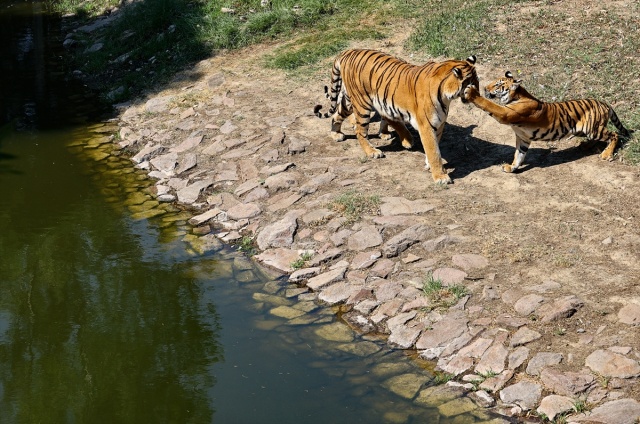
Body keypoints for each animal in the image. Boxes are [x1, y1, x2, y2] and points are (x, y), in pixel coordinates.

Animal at [312, 48, 478, 184]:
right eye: (472, 82)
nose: (478, 93)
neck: (445, 96)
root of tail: (347, 52)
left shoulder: (439, 124)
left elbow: (434, 147)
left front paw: (428, 165)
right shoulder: (426, 126)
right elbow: (434, 152)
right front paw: (441, 177)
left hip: (351, 101)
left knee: (336, 115)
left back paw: (336, 134)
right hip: (362, 104)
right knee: (360, 131)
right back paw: (372, 152)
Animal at [464, 70, 632, 173]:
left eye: (498, 84)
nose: (485, 88)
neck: (516, 96)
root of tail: (604, 103)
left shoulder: (505, 113)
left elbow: (488, 104)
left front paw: (471, 92)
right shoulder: (523, 138)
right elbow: (518, 155)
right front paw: (512, 168)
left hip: (593, 129)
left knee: (614, 135)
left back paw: (606, 154)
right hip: (587, 130)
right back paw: (585, 146)